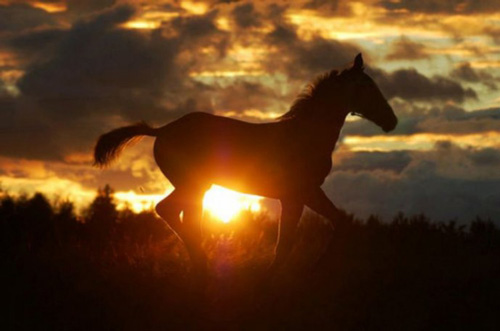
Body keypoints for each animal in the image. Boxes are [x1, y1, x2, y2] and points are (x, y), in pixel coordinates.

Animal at [94, 53, 398, 274]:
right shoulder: (300, 194)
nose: (392, 121)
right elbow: (288, 242)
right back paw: (203, 262)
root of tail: (163, 130)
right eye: (368, 87)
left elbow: (333, 222)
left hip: (198, 188)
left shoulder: (300, 195)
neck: (305, 135)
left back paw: (201, 265)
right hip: (193, 184)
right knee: (167, 210)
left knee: (186, 218)